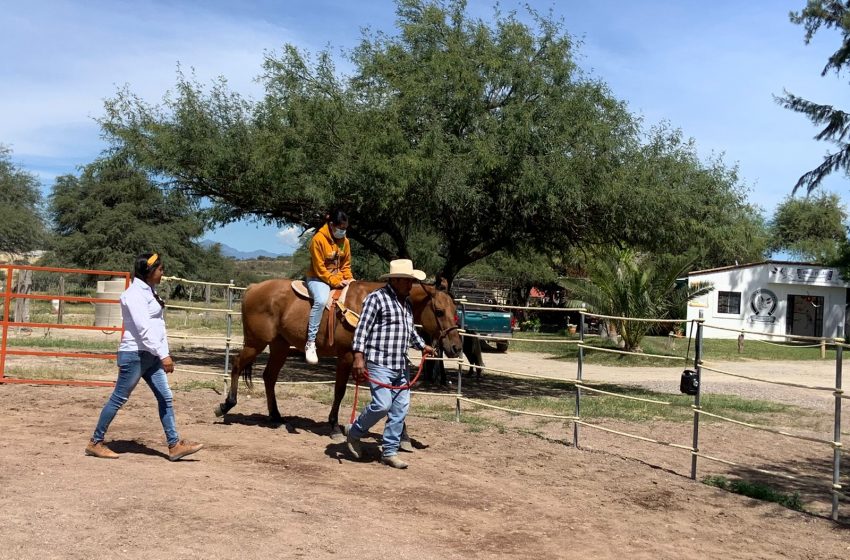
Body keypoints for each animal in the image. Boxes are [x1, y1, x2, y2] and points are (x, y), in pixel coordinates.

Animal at [215, 278, 460, 438]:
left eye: (455, 310)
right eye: (439, 311)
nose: (456, 347)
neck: (365, 305)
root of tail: (254, 288)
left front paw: (403, 434)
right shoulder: (347, 357)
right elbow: (340, 391)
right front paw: (333, 426)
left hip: (279, 347)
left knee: (269, 377)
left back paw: (275, 416)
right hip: (255, 343)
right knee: (236, 365)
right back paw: (227, 405)